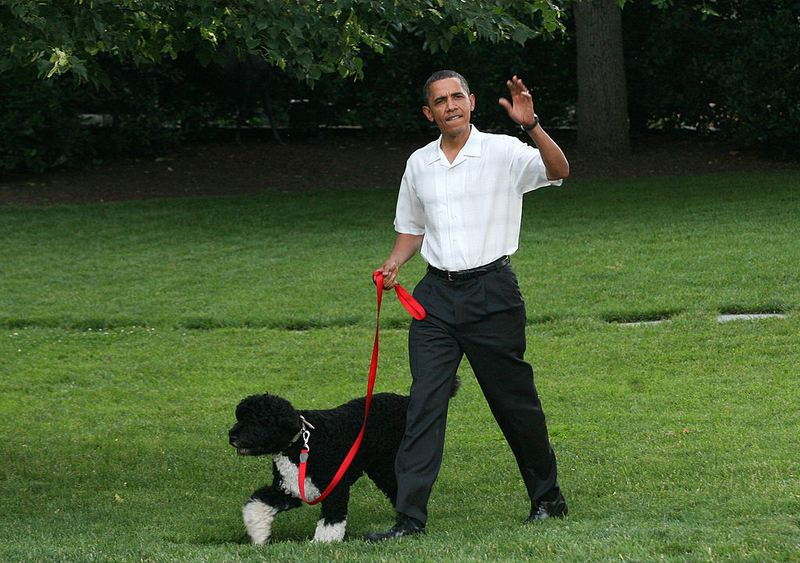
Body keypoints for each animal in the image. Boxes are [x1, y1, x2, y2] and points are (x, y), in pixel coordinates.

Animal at [230, 382, 456, 544]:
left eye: (255, 420)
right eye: (239, 417)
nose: (231, 436)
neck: (302, 443)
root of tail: (406, 400)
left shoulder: (335, 487)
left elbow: (332, 520)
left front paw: (323, 544)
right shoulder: (289, 488)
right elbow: (257, 503)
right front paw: (259, 534)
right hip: (380, 468)